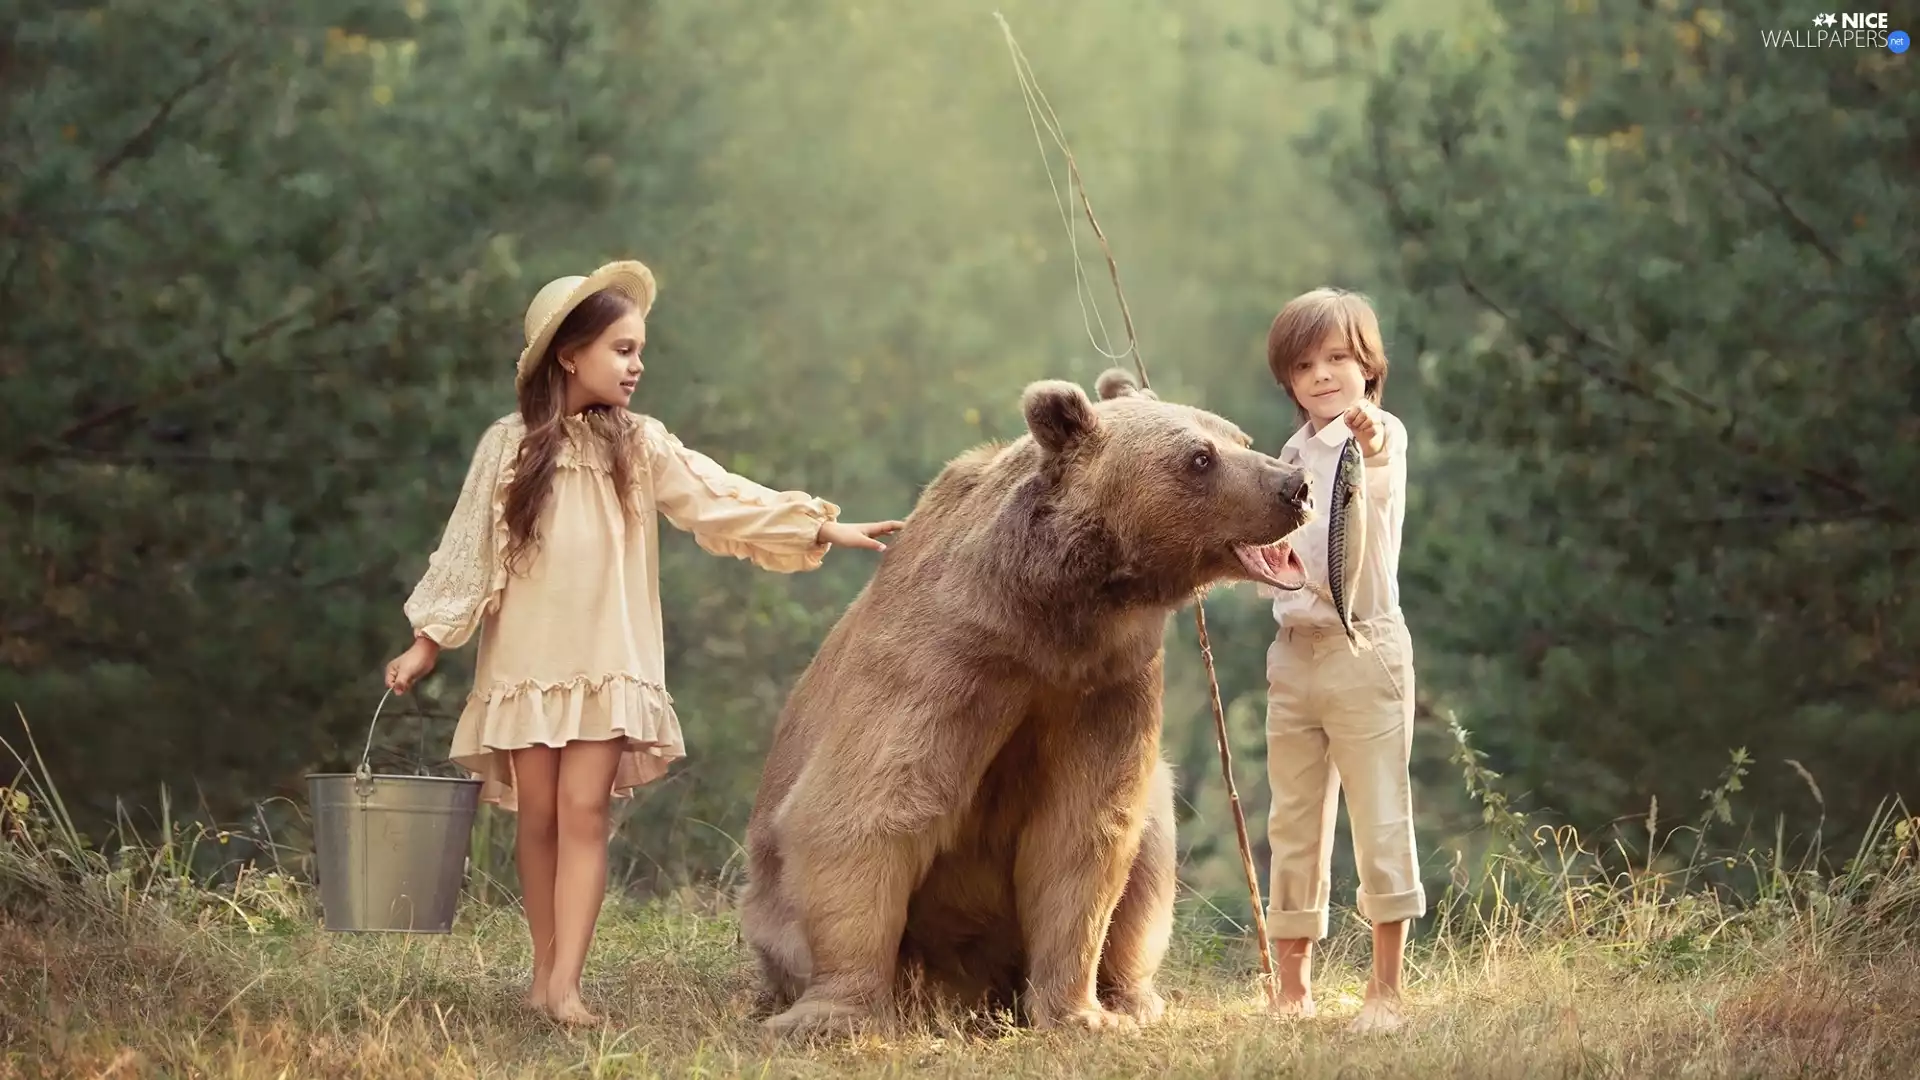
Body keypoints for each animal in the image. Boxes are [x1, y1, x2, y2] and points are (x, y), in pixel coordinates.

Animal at [739, 367, 1313, 1036]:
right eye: (1200, 457)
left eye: (1239, 437)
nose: (1294, 485)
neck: (1054, 615)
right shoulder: (947, 660)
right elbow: (867, 805)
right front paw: (832, 1013)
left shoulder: (1105, 686)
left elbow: (1082, 836)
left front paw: (1080, 1013)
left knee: (1151, 847)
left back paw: (1132, 997)